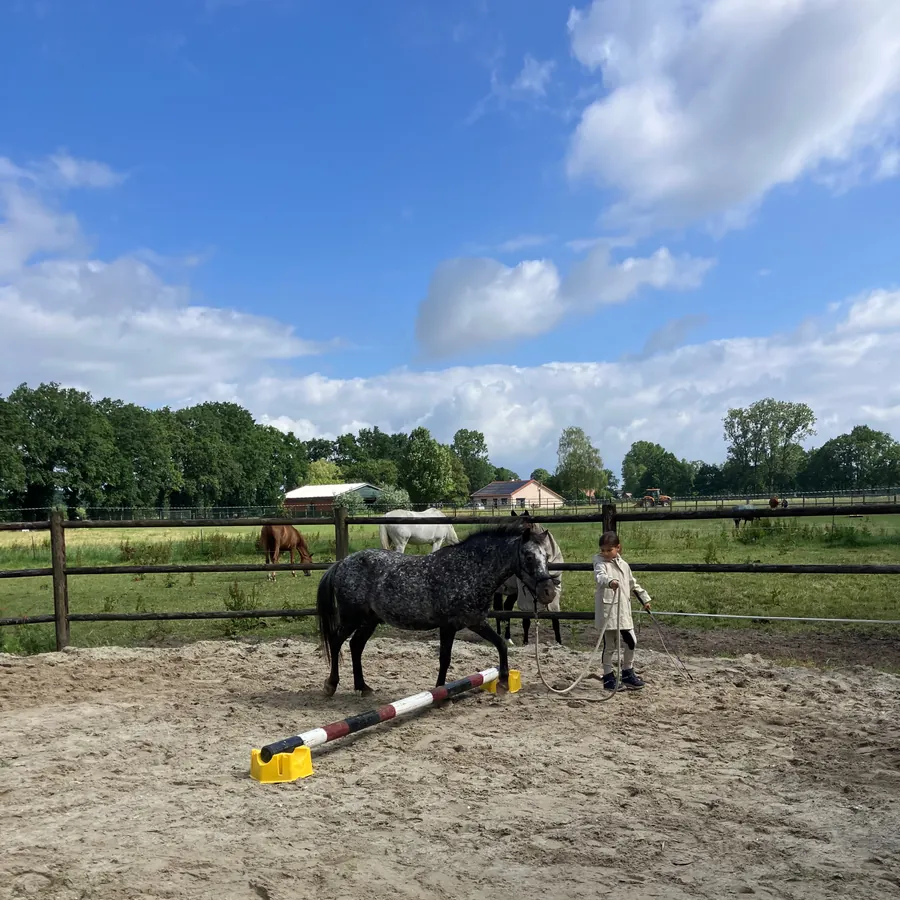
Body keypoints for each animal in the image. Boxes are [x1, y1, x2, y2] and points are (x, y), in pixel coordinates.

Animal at [316, 520, 557, 696]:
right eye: (529, 556)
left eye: (546, 556)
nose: (549, 592)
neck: (468, 570)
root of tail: (341, 563)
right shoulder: (448, 626)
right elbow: (445, 658)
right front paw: (440, 691)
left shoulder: (475, 622)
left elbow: (501, 645)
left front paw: (504, 681)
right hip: (351, 618)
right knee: (337, 641)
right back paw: (331, 685)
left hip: (369, 621)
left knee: (356, 646)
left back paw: (362, 687)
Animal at [493, 510, 563, 645]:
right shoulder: (524, 593)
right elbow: (526, 621)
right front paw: (525, 643)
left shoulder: (555, 590)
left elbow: (555, 619)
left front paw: (559, 643)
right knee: (498, 609)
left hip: (512, 591)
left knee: (507, 607)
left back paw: (507, 638)